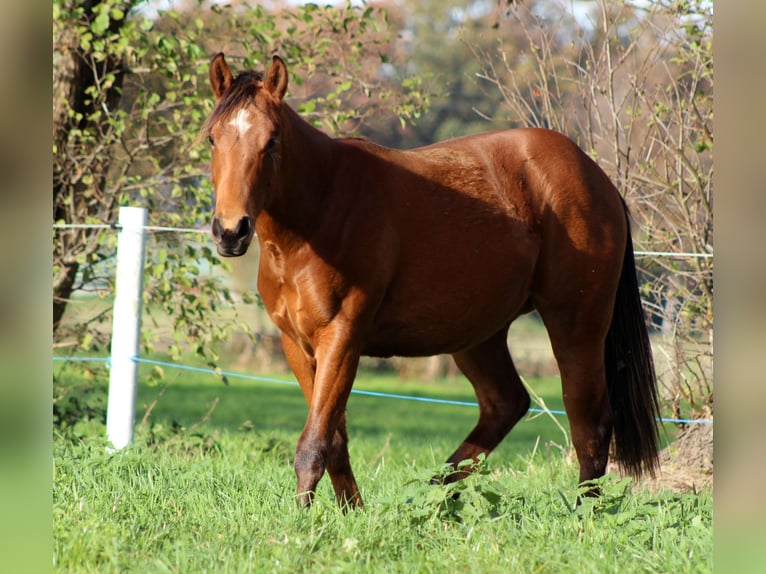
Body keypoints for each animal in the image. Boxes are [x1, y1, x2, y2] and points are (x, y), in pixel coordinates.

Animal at [202, 53, 660, 509]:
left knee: (589, 423)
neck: (319, 212)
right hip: (479, 335)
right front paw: (353, 512)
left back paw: (583, 511)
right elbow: (334, 440)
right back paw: (431, 494)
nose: (231, 231)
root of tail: (596, 178)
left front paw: (306, 519)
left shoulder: (341, 339)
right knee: (506, 404)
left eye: (272, 140)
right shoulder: (297, 346)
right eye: (212, 139)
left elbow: (314, 443)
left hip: (576, 326)